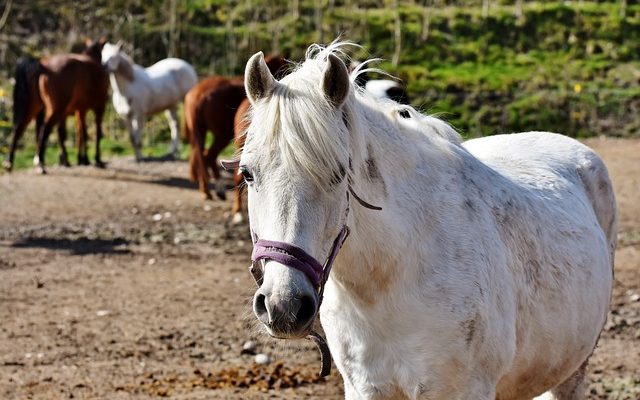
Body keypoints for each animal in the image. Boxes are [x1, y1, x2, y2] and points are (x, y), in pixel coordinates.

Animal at [2, 38, 109, 173]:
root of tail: (42, 65)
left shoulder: (80, 110)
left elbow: (80, 133)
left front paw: (82, 159)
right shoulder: (99, 107)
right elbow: (95, 133)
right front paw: (96, 159)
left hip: (34, 106)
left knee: (18, 129)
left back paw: (9, 162)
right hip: (55, 109)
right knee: (44, 130)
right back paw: (39, 162)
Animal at [184, 54, 286, 202]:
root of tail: (199, 95)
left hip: (202, 132)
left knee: (202, 155)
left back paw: (207, 190)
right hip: (222, 135)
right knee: (208, 156)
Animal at [239, 42, 616, 398]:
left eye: (338, 174)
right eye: (247, 174)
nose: (283, 306)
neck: (391, 276)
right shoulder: (364, 389)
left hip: (573, 369)